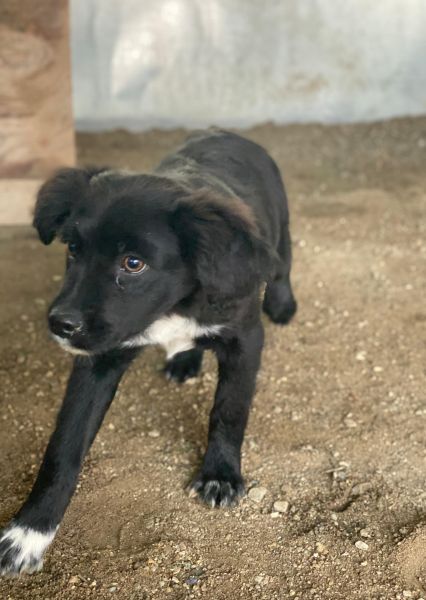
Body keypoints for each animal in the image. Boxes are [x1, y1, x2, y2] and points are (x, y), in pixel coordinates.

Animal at [0, 130, 297, 575]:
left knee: (283, 262)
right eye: (73, 249)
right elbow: (64, 446)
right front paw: (29, 531)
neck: (171, 306)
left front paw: (221, 474)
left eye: (133, 263)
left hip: (278, 229)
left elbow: (229, 410)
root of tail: (225, 132)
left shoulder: (244, 339)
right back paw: (184, 359)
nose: (60, 324)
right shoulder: (98, 359)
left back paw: (281, 303)